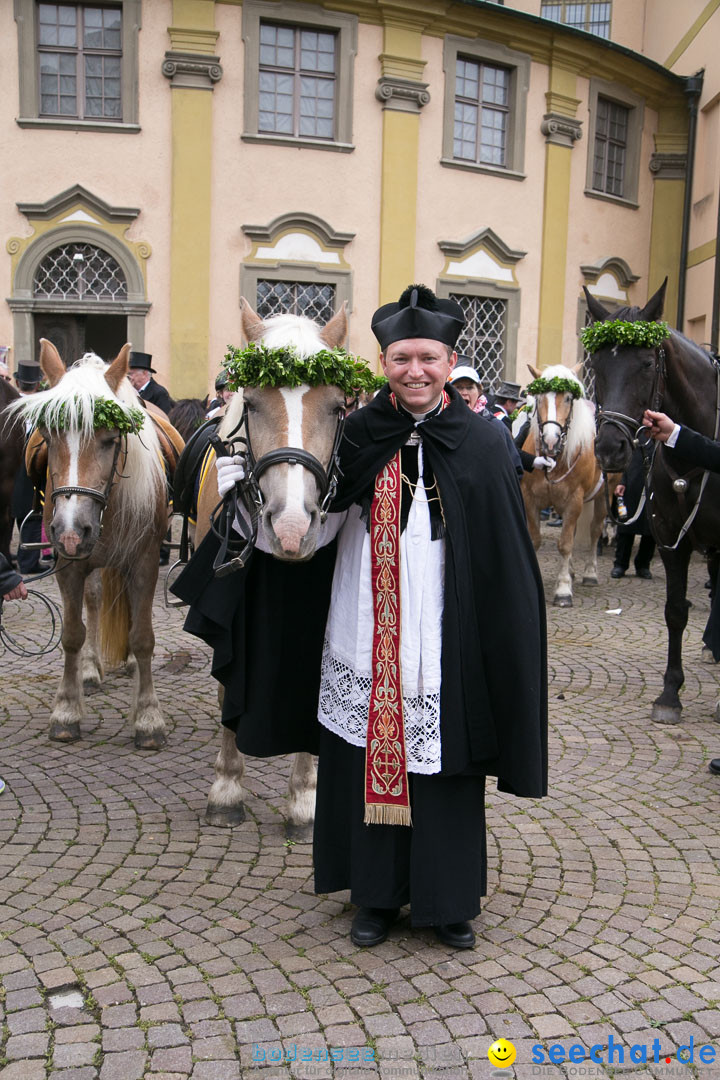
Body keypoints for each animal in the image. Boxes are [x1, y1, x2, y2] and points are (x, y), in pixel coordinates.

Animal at [8, 341, 183, 747]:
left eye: (110, 439)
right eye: (48, 436)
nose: (72, 530)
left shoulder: (144, 561)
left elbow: (143, 637)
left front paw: (148, 718)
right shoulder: (69, 564)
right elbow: (72, 634)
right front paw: (66, 710)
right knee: (94, 599)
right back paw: (88, 671)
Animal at [194, 295, 345, 833]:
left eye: (338, 406)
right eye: (254, 402)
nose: (292, 527)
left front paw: (304, 797)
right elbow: (226, 688)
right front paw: (226, 788)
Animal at [520, 367, 604, 609]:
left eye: (568, 398)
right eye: (539, 398)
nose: (551, 441)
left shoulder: (574, 500)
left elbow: (565, 544)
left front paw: (563, 589)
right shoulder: (530, 499)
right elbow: (535, 540)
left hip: (604, 494)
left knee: (595, 529)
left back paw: (589, 573)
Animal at [587, 280, 720, 725]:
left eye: (646, 363)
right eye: (595, 365)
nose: (609, 447)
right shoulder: (669, 538)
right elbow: (675, 611)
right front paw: (669, 695)